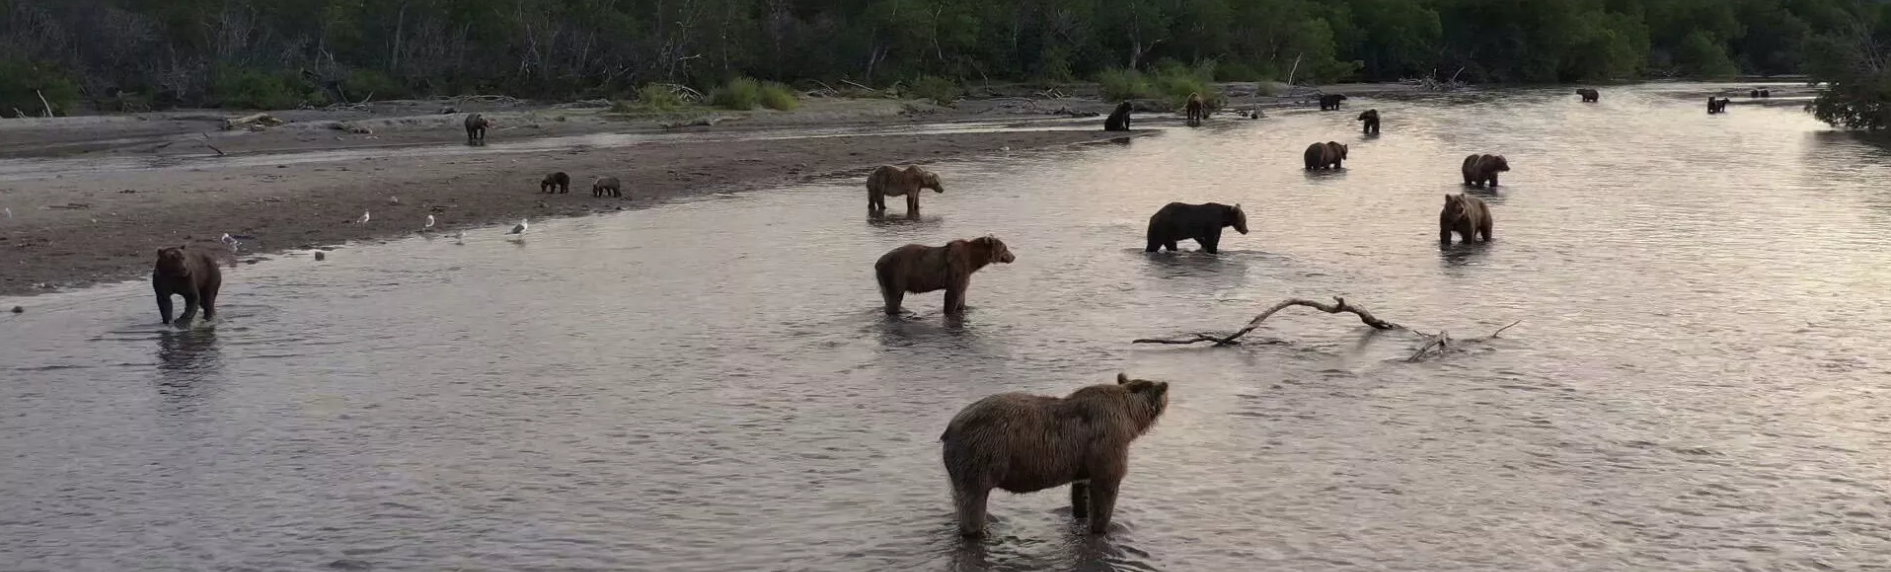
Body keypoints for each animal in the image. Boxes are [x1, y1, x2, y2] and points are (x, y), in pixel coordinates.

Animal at [873, 235, 1013, 318]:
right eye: (1005, 248)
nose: (1013, 256)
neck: (972, 260)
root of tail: (877, 263)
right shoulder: (958, 268)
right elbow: (952, 295)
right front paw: (949, 312)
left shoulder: (965, 274)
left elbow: (961, 296)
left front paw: (962, 309)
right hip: (896, 274)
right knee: (894, 298)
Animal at [941, 371, 1164, 537]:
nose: (1164, 384)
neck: (1129, 417)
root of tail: (949, 429)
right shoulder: (1107, 442)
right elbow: (1105, 489)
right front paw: (1101, 528)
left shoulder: (1084, 458)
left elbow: (1081, 489)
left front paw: (1081, 514)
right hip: (980, 455)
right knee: (973, 503)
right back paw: (976, 531)